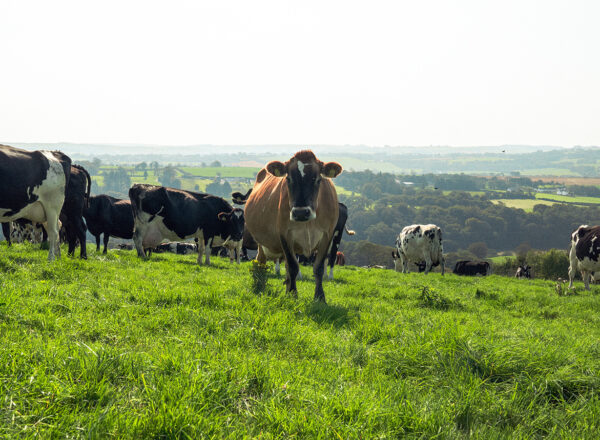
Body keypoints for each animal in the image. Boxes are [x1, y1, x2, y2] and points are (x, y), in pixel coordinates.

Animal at [245, 151, 342, 302]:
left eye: (317, 179)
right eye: (288, 179)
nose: (301, 212)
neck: (308, 223)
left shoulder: (327, 235)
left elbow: (319, 268)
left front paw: (320, 297)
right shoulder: (285, 234)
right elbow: (292, 267)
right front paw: (292, 294)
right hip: (261, 242)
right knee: (260, 261)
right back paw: (260, 285)